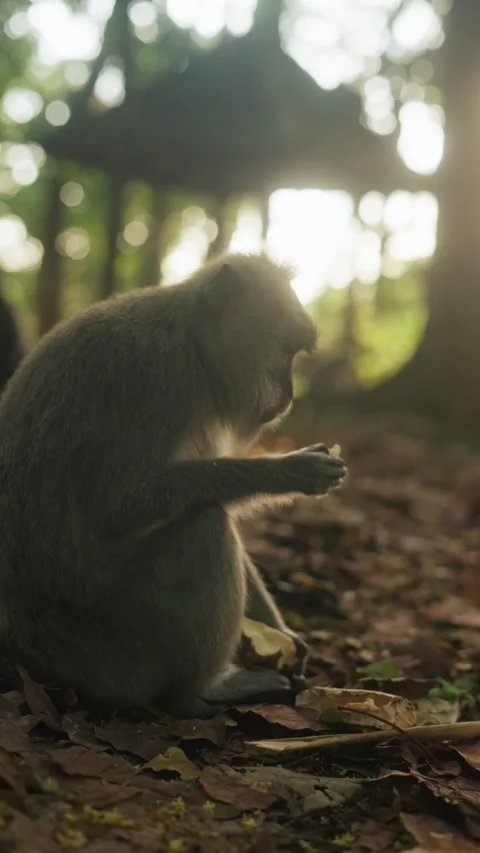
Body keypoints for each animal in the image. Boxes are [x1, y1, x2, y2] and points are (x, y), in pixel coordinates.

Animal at [0, 253, 347, 717]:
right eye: (285, 350)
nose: (290, 395)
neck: (191, 343)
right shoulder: (152, 377)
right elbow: (119, 504)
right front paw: (287, 471)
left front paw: (281, 634)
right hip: (118, 647)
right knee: (205, 527)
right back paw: (201, 691)